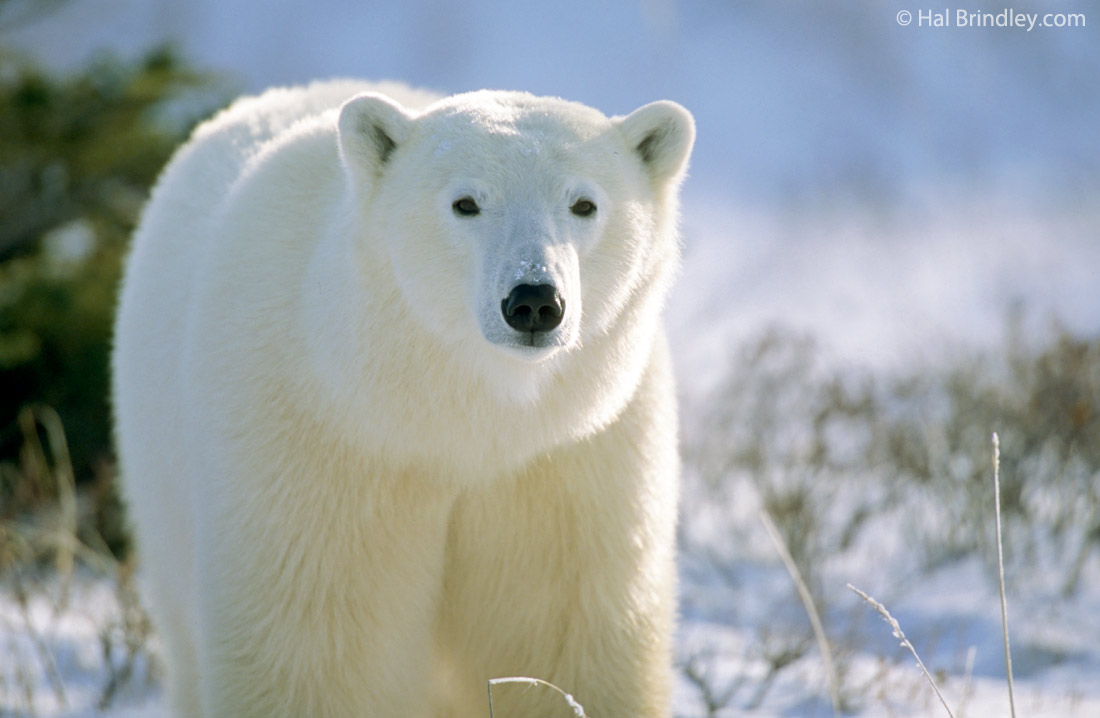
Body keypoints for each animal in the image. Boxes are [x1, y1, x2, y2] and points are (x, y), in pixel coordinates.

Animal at [113, 79, 695, 716]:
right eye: (466, 202)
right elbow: (315, 647)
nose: (534, 301)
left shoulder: (570, 461)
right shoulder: (319, 445)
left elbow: (564, 637)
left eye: (584, 204)